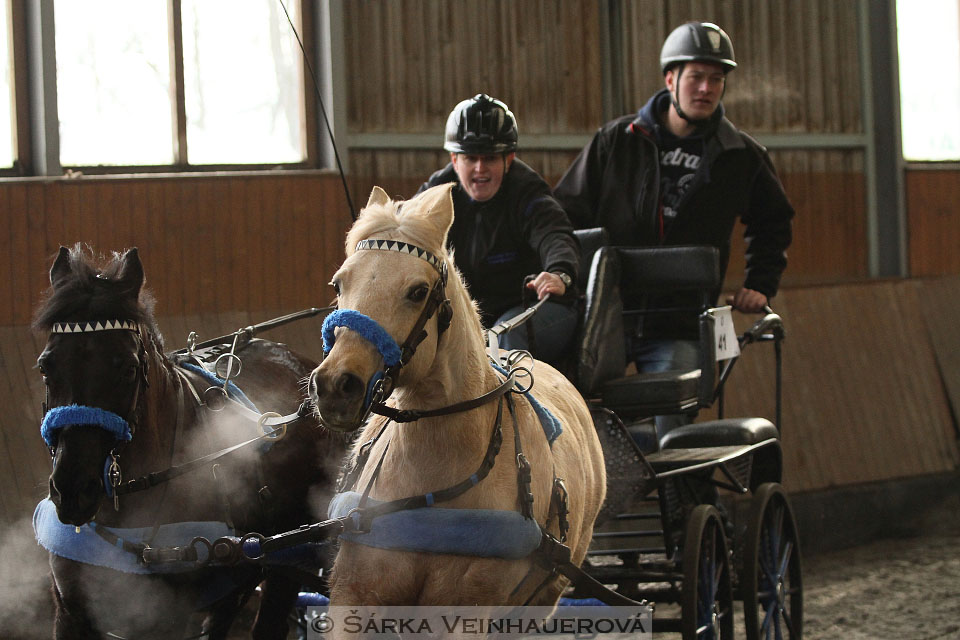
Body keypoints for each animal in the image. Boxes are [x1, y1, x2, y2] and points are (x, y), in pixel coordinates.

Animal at [31, 246, 344, 640]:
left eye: (128, 368)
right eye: (46, 366)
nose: (73, 489)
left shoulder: (167, 619)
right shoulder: (71, 612)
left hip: (287, 558)